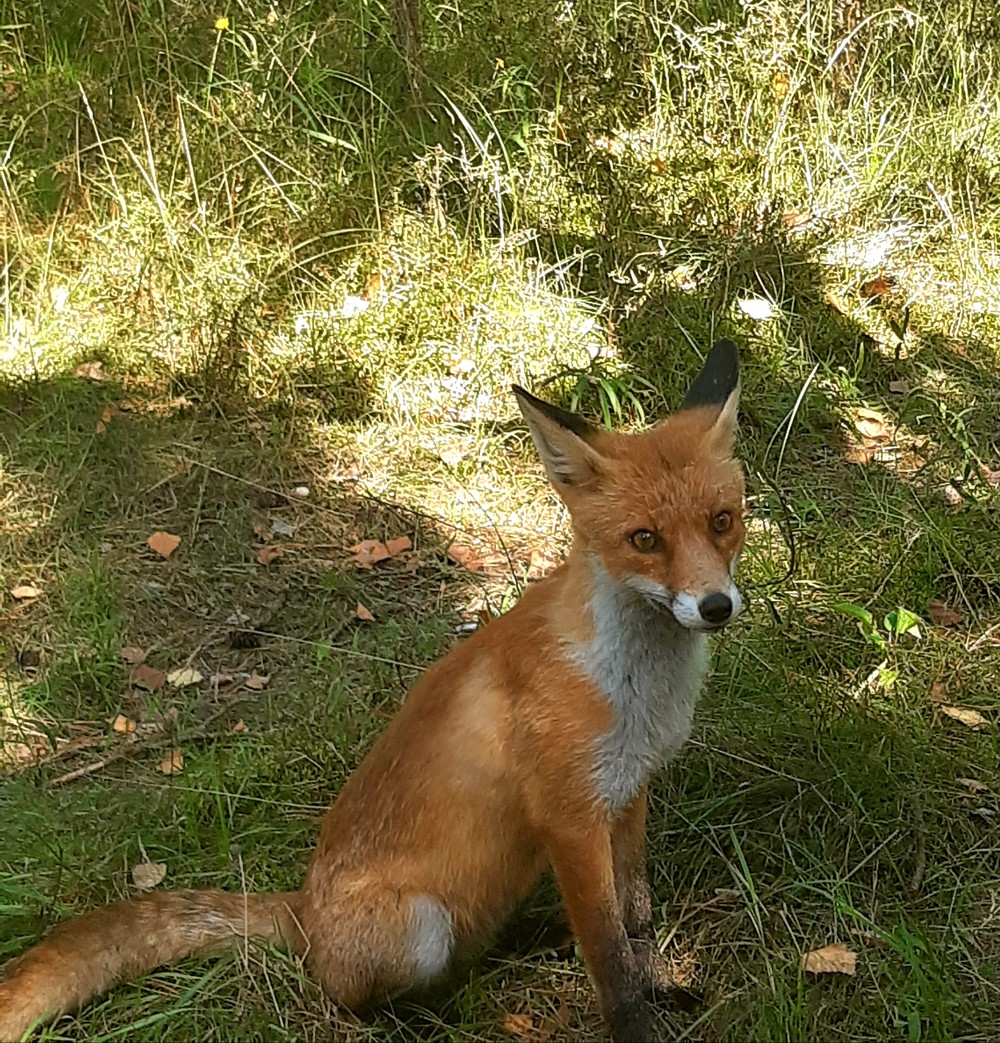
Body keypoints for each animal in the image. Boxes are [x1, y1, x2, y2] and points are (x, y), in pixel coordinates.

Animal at [0, 339, 746, 1043]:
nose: (716, 606)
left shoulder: (627, 792)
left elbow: (636, 922)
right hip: (419, 928)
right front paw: (636, 1024)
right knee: (345, 995)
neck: (636, 688)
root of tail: (301, 910)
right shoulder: (569, 817)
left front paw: (660, 985)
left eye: (722, 520)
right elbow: (611, 961)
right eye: (644, 539)